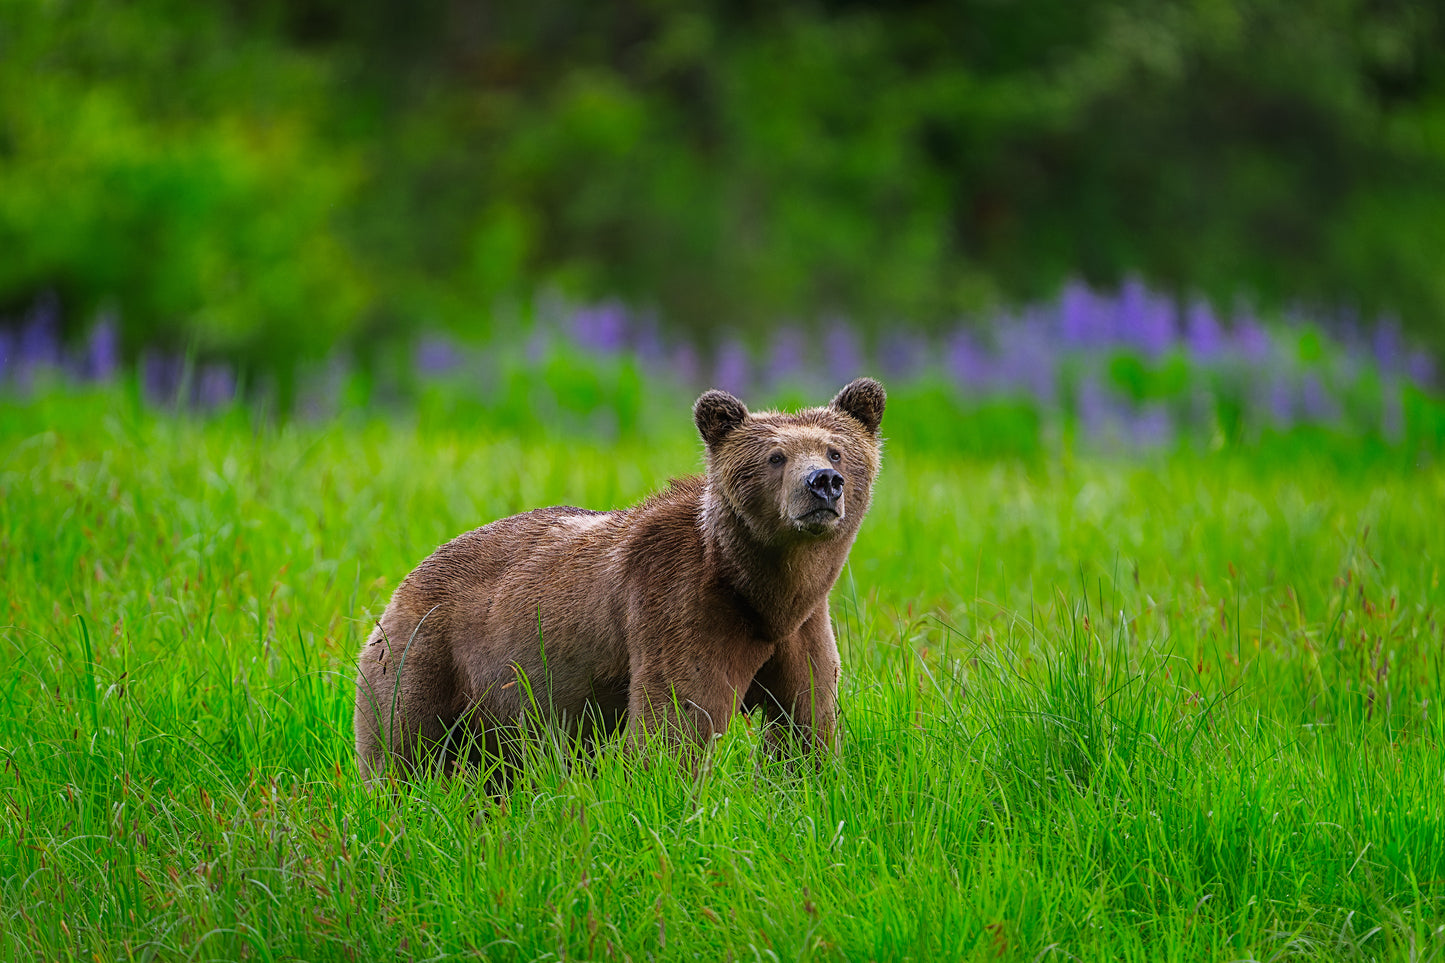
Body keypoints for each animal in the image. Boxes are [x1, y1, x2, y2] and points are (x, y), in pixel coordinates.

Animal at [355, 373, 884, 775]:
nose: (823, 483)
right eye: (775, 457)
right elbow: (675, 724)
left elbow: (806, 720)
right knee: (404, 748)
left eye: (836, 451)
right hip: (427, 658)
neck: (757, 592)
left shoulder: (801, 629)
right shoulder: (682, 610)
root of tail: (401, 585)